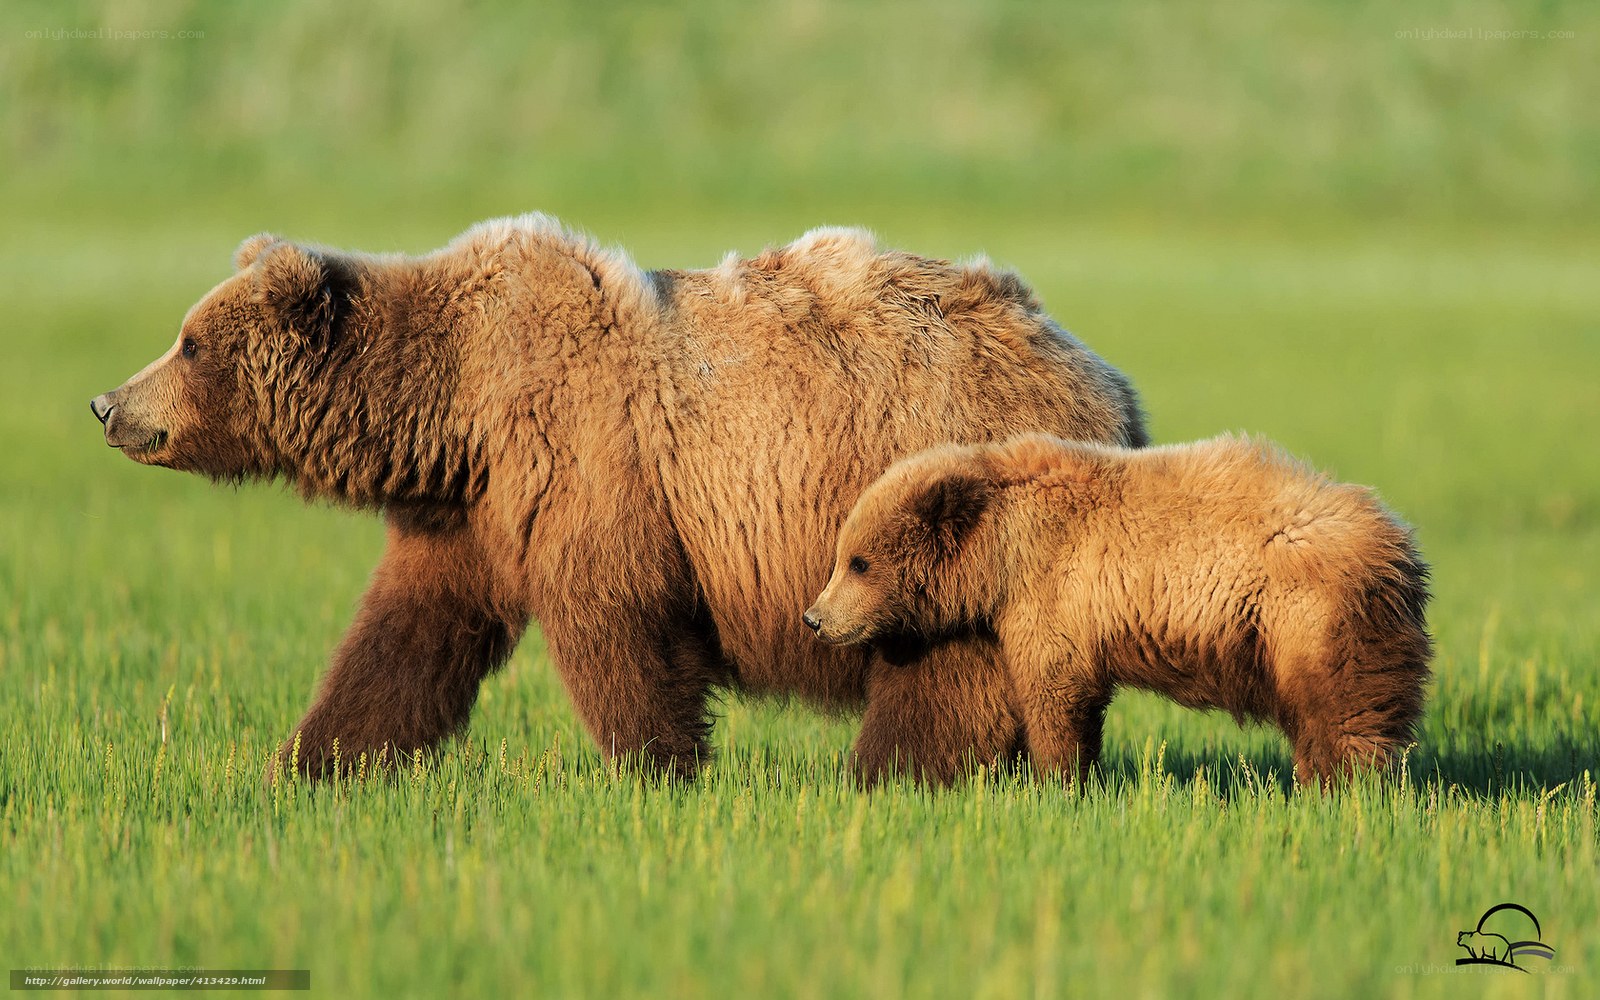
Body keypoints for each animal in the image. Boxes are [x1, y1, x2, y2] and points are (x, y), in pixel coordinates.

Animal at [89, 216, 1146, 783]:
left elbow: (618, 624)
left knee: (940, 667)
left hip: (936, 501)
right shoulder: (472, 515)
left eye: (188, 343)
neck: (455, 406)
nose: (107, 404)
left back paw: (887, 775)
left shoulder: (586, 462)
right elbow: (407, 637)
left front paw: (660, 771)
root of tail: (1111, 383)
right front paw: (310, 765)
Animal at [803, 432, 1432, 786]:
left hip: (1308, 618)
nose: (815, 618)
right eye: (841, 557)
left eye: (858, 562)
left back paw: (1340, 790)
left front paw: (1057, 780)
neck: (1000, 550)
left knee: (1343, 715)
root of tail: (1401, 549)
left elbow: (1055, 692)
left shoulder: (1051, 593)